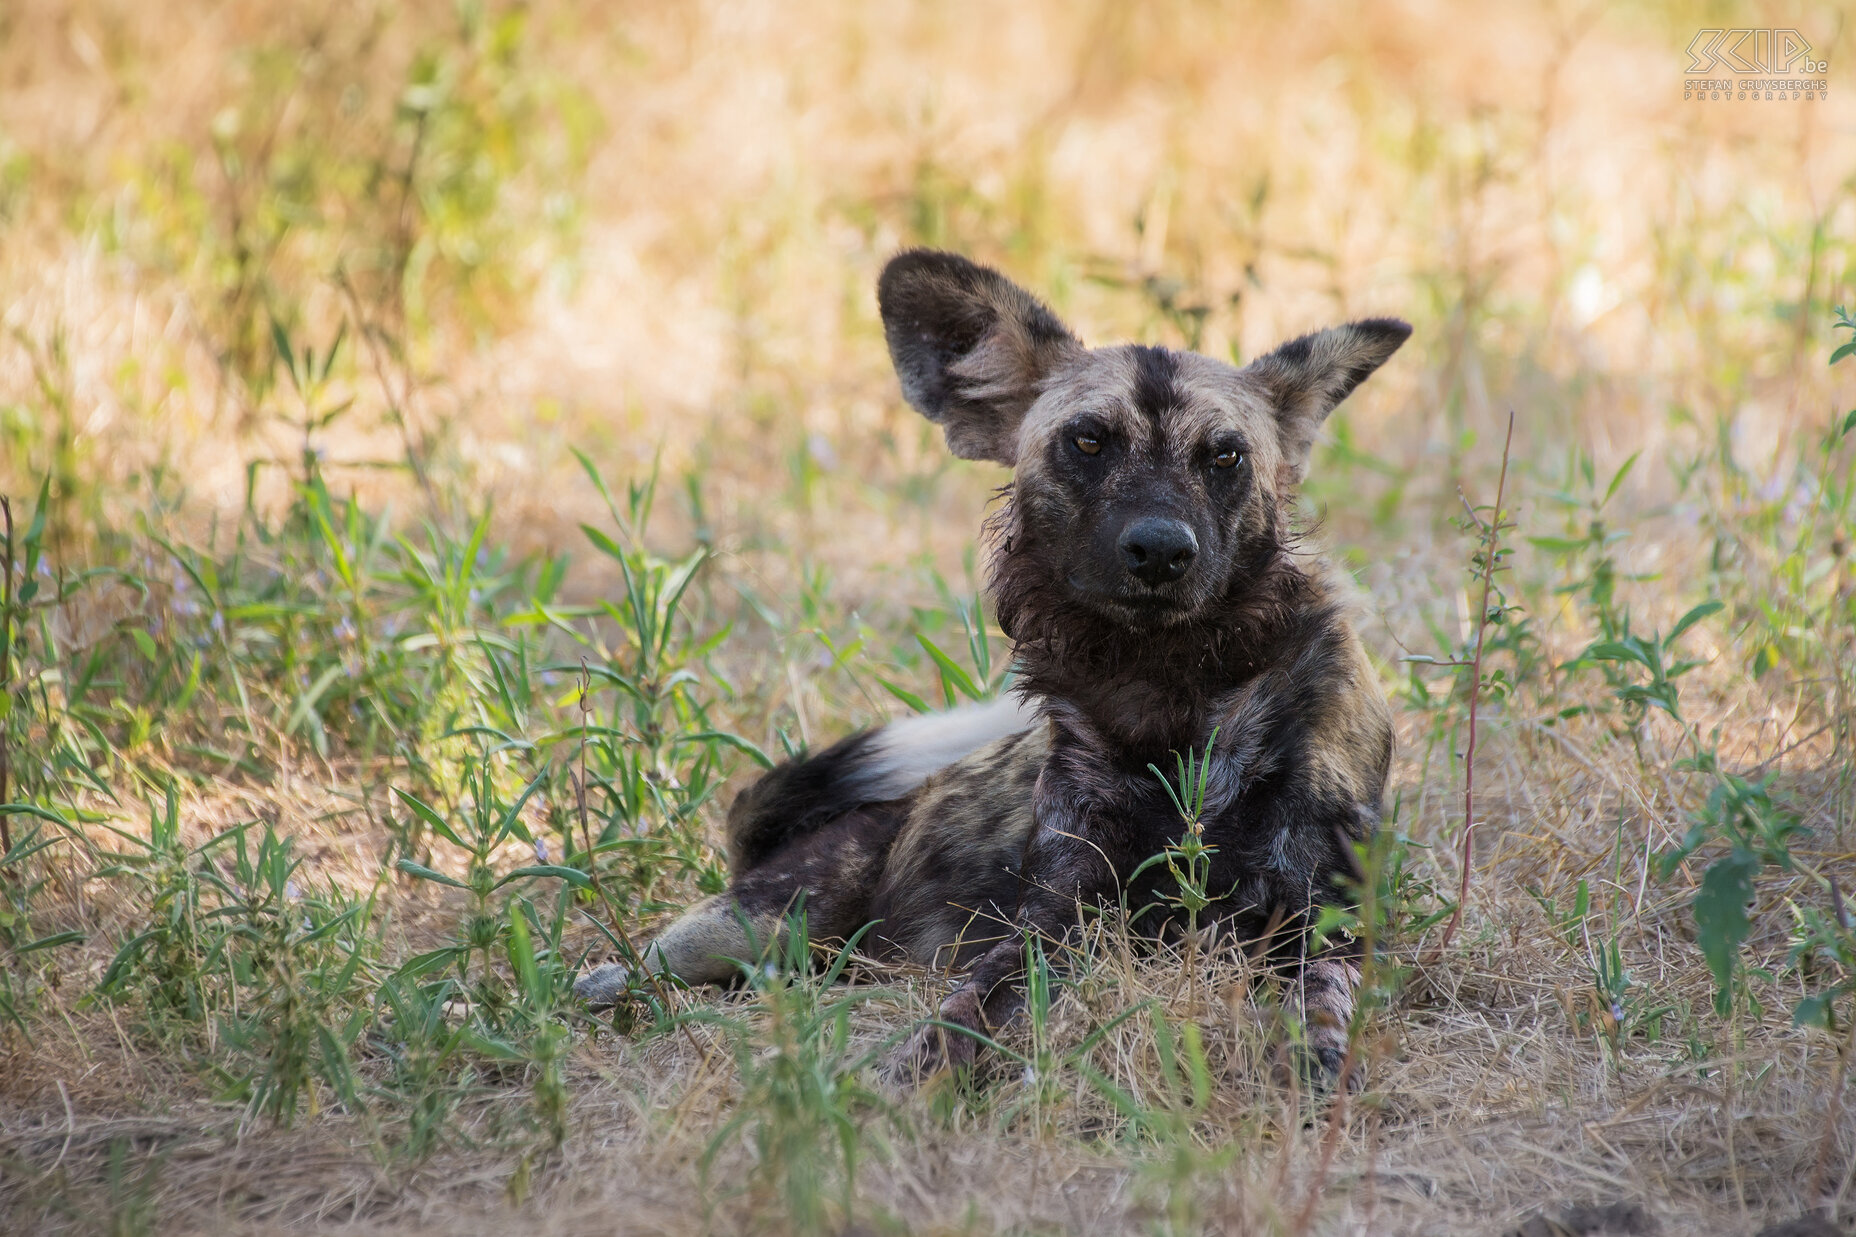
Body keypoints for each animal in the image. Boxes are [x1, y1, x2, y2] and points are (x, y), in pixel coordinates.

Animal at [579, 248, 1403, 1077]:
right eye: (1089, 442)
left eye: (1225, 455)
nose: (1160, 549)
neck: (1166, 689)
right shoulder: (1055, 919)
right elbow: (964, 1018)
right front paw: (912, 1085)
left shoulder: (1319, 919)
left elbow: (1318, 1016)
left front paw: (1311, 1071)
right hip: (756, 928)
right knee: (632, 971)